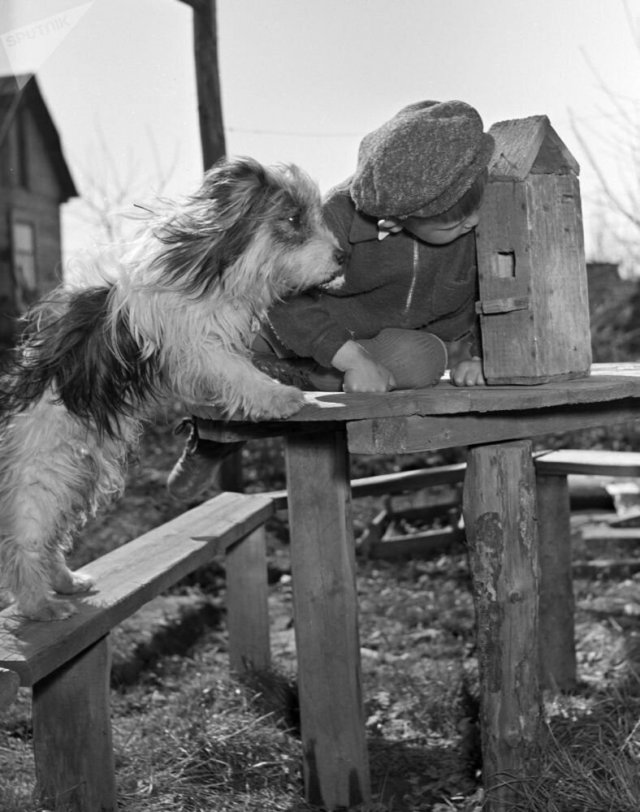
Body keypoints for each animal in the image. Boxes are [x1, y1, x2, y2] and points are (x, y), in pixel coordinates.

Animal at [0, 155, 344, 620]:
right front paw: (279, 396)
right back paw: (39, 604)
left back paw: (65, 582)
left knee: (50, 539)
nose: (342, 255)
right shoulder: (194, 345)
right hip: (42, 473)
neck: (215, 267)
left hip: (75, 476)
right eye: (292, 219)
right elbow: (237, 372)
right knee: (25, 543)